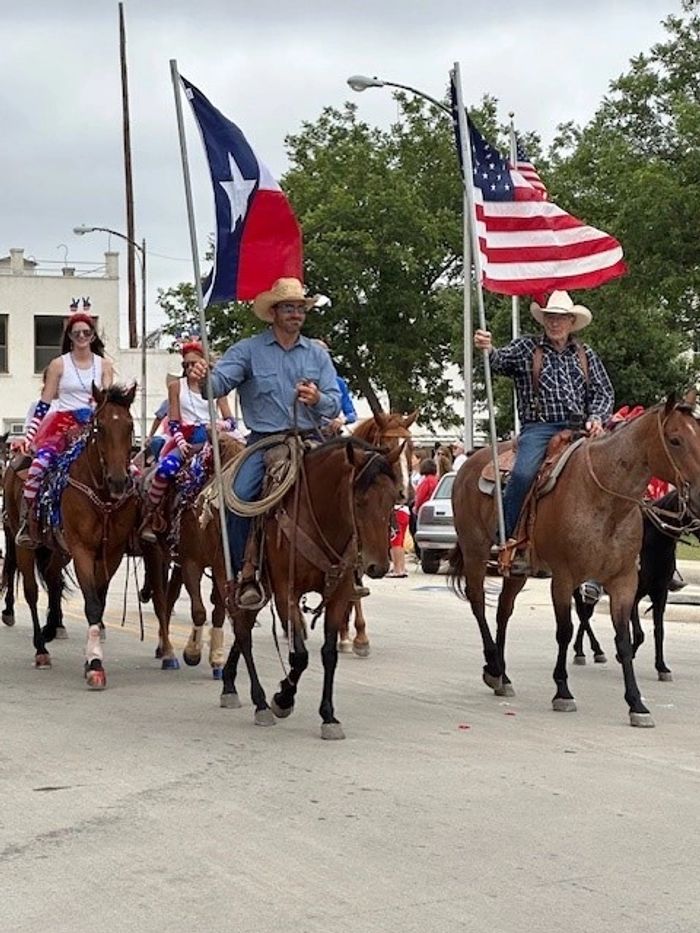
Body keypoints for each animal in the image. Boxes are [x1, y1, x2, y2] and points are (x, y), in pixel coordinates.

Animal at [219, 436, 404, 736]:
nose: (378, 566)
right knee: (242, 632)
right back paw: (260, 703)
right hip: (229, 578)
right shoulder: (286, 593)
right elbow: (300, 657)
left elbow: (329, 654)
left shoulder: (339, 594)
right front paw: (282, 699)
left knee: (242, 628)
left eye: (392, 498)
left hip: (261, 590)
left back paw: (228, 683)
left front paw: (328, 716)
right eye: (359, 501)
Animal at [448, 396, 700, 724]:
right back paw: (492, 664)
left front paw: (636, 703)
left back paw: (502, 676)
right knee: (478, 602)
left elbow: (623, 638)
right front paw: (563, 691)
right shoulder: (563, 577)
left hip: (517, 570)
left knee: (504, 610)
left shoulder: (624, 582)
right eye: (675, 439)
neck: (607, 502)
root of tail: (471, 461)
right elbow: (564, 631)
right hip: (475, 550)